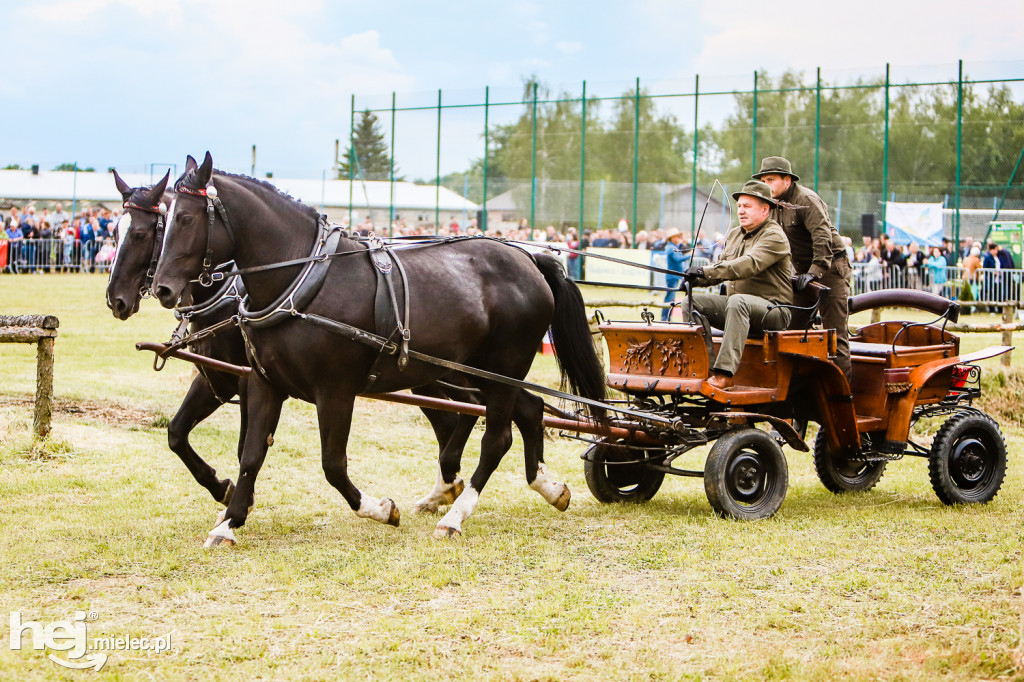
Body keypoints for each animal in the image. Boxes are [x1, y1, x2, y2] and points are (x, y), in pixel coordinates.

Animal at [148, 152, 602, 540]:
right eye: (162, 223)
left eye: (185, 218)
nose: (163, 289)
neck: (299, 280)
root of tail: (530, 259)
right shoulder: (263, 382)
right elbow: (251, 455)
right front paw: (230, 521)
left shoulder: (335, 391)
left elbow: (332, 464)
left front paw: (380, 509)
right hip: (485, 372)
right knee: (530, 410)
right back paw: (548, 487)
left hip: (502, 367)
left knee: (498, 438)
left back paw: (456, 516)